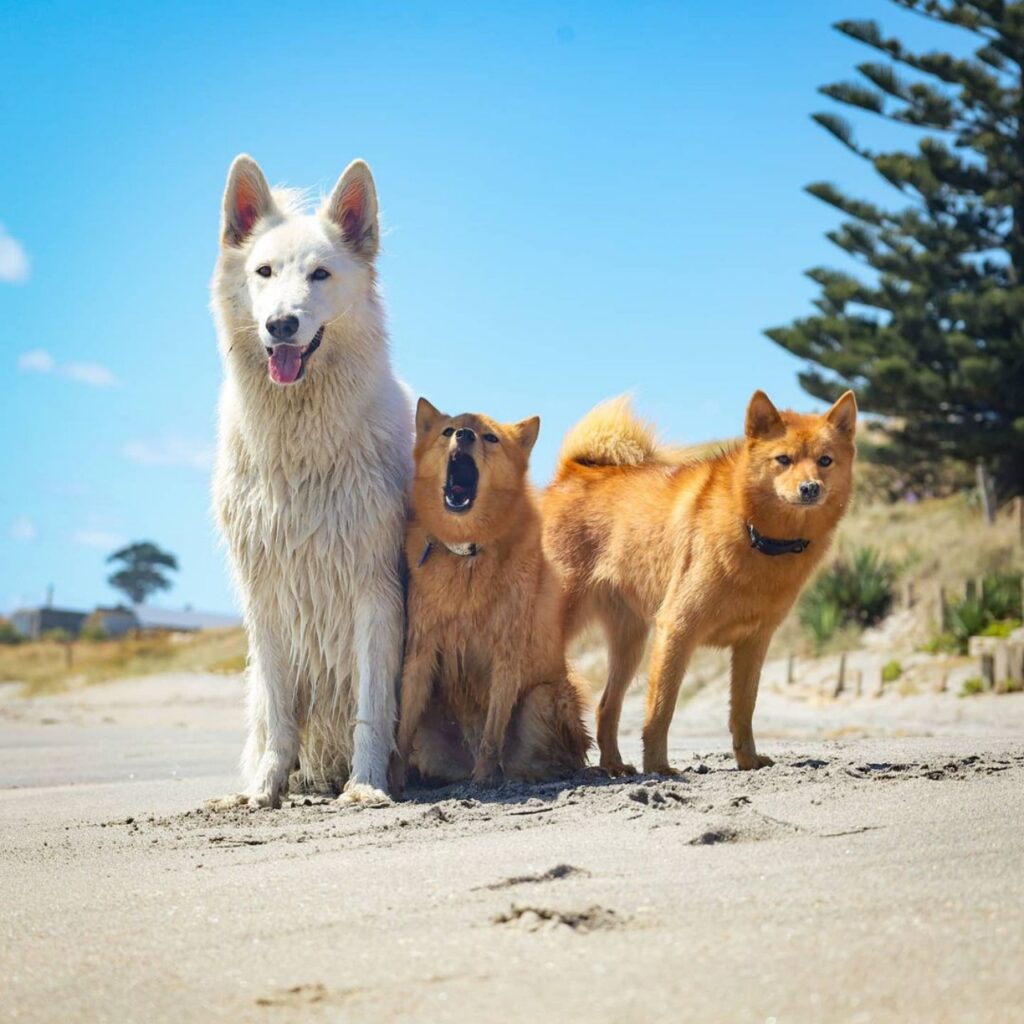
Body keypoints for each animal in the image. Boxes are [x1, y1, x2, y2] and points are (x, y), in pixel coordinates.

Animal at [207, 153, 411, 806]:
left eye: (320, 275)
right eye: (263, 272)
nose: (281, 325)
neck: (300, 450)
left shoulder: (374, 588)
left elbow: (372, 705)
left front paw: (366, 786)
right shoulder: (266, 592)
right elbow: (279, 712)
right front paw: (265, 789)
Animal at [397, 395, 593, 786]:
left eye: (490, 437)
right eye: (448, 430)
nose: (465, 435)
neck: (468, 552)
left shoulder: (506, 653)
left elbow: (491, 735)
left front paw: (485, 780)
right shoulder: (421, 652)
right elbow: (401, 730)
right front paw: (389, 780)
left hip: (542, 698)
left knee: (550, 760)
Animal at [544, 387, 856, 770]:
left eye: (825, 461)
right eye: (783, 459)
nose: (810, 488)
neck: (757, 535)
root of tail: (570, 474)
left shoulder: (754, 642)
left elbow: (743, 710)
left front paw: (748, 760)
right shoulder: (677, 629)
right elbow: (661, 711)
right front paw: (658, 768)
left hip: (630, 642)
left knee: (606, 706)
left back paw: (613, 766)